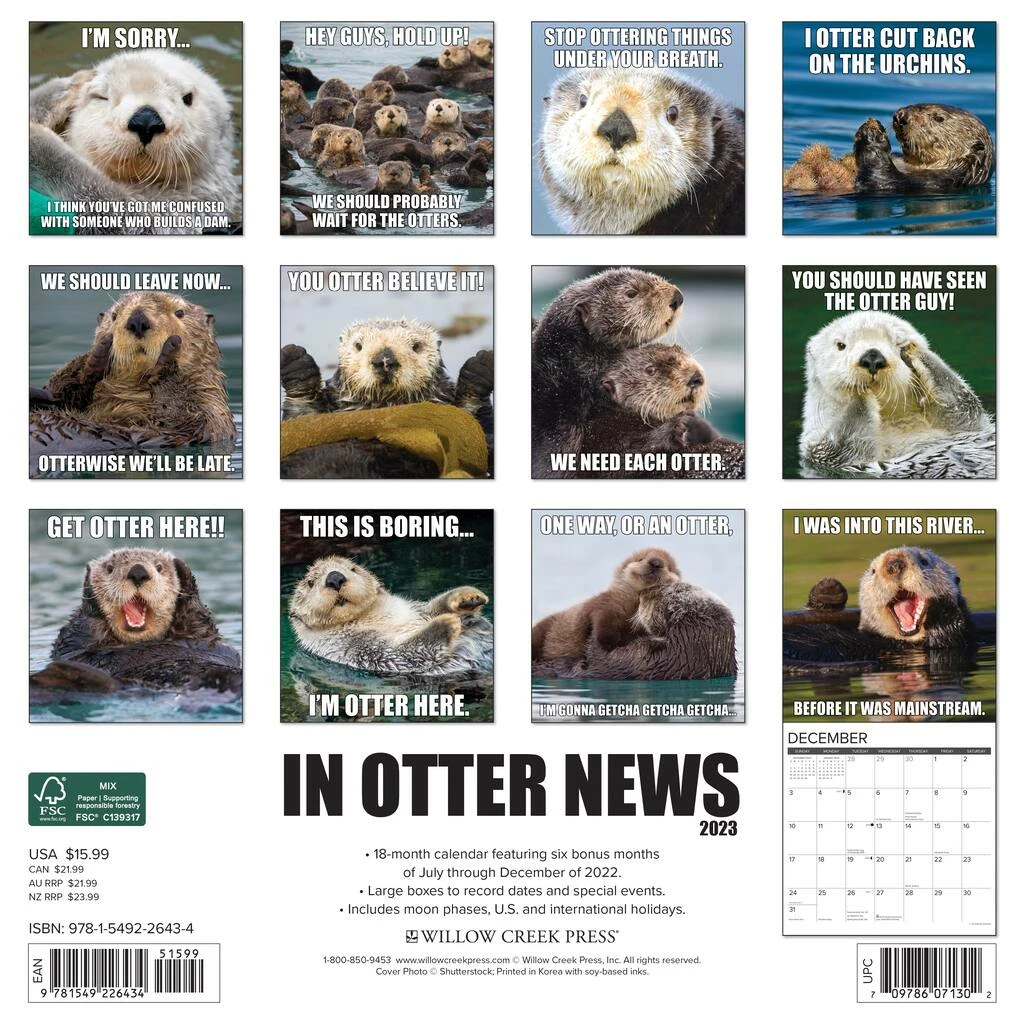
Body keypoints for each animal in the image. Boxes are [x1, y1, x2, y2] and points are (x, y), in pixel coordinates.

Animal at [31, 51, 239, 234]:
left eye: (187, 98)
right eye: (101, 97)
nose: (146, 120)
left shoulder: (183, 212)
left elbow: (99, 199)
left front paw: (35, 138)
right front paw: (68, 86)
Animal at [31, 549, 241, 693]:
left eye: (159, 568)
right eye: (110, 568)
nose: (138, 571)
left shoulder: (201, 635)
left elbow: (199, 622)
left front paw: (183, 570)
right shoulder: (73, 644)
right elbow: (77, 634)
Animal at [288, 556, 493, 679]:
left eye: (353, 569)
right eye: (310, 582)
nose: (335, 578)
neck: (370, 616)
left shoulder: (417, 611)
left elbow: (434, 607)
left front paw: (468, 597)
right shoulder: (357, 649)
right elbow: (404, 654)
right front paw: (446, 622)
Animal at [532, 549, 680, 663]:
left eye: (669, 567)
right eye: (641, 558)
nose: (656, 562)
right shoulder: (607, 603)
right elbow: (602, 619)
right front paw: (608, 642)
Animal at [799, 311, 994, 479]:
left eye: (898, 343)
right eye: (841, 345)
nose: (872, 356)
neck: (891, 422)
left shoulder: (970, 426)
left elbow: (964, 404)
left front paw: (916, 351)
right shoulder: (822, 450)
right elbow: (842, 443)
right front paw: (861, 393)